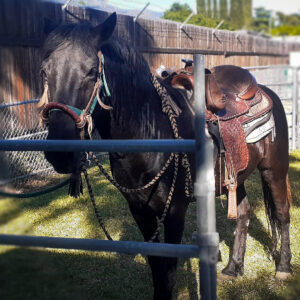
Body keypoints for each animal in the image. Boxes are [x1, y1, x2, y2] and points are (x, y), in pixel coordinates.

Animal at [38, 12, 292, 298]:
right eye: (44, 71)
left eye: (92, 71)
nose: (60, 153)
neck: (150, 134)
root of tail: (266, 92)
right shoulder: (139, 211)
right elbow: (156, 267)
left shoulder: (174, 212)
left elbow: (169, 272)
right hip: (235, 177)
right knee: (244, 213)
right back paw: (232, 268)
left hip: (274, 170)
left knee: (282, 213)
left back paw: (283, 267)